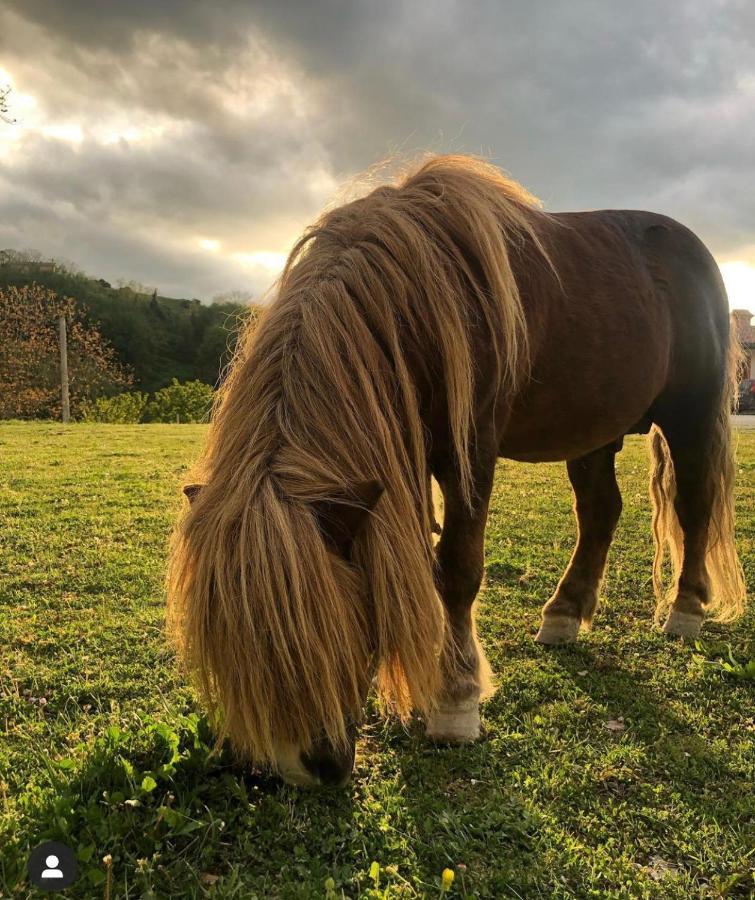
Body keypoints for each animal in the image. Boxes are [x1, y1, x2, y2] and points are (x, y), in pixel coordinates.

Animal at [167, 156, 752, 788]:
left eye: (324, 627)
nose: (311, 767)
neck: (415, 298)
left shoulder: (470, 453)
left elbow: (457, 569)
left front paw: (455, 698)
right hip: (593, 428)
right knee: (600, 513)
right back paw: (565, 613)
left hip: (689, 415)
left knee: (694, 504)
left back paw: (686, 610)